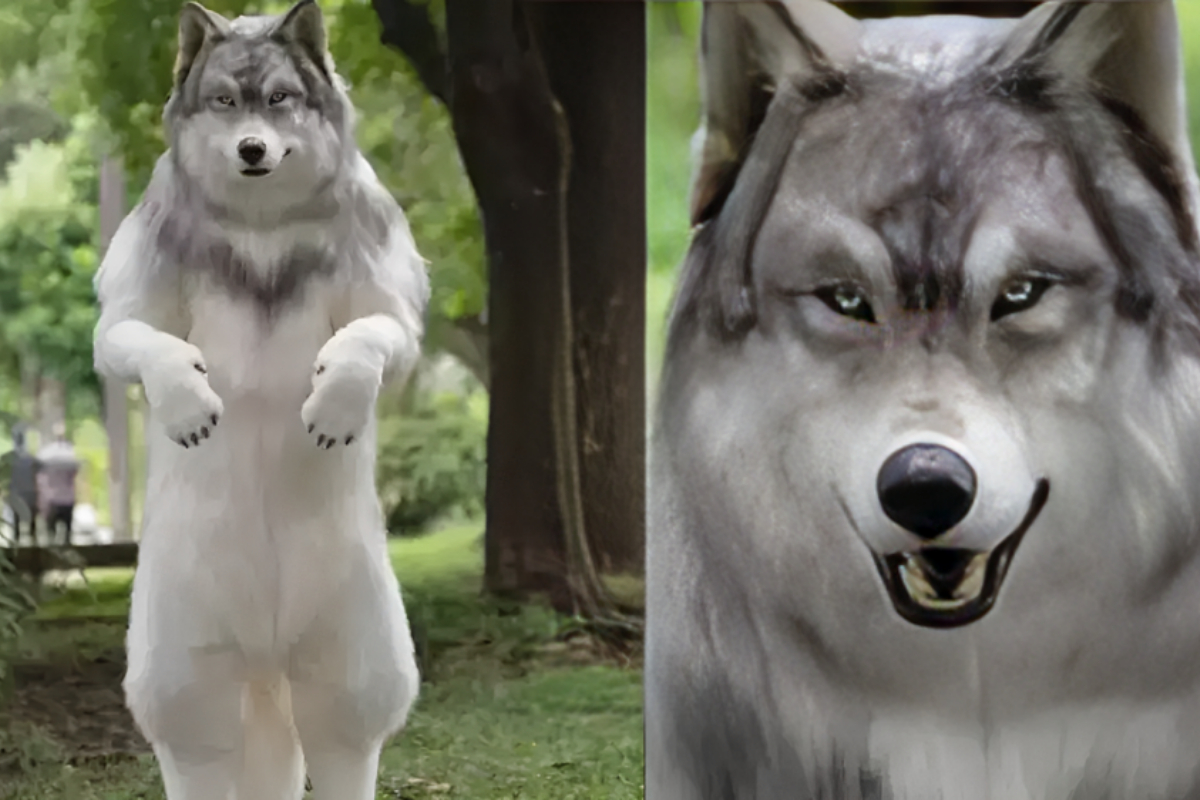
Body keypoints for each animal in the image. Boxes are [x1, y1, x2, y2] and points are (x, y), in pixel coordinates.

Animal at [91, 2, 429, 799]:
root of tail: (268, 652)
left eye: (279, 99)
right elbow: (138, 339)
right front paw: (185, 400)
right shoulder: (128, 308)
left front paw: (337, 400)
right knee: (202, 749)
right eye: (224, 101)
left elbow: (372, 335)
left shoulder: (388, 305)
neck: (261, 226)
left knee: (343, 741)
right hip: (187, 675)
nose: (252, 148)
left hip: (351, 662)